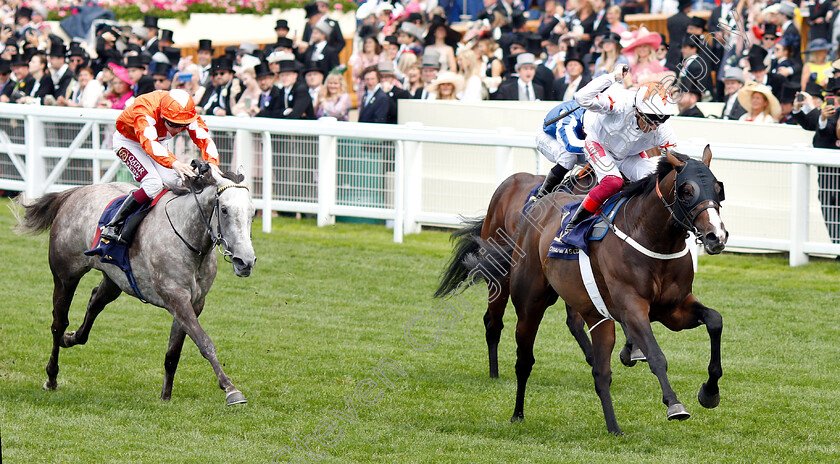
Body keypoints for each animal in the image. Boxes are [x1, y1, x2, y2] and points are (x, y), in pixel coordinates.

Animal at [15, 166, 256, 406]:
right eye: (224, 210)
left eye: (252, 213)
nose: (245, 261)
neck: (186, 236)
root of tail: (75, 192)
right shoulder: (175, 298)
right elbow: (204, 342)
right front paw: (231, 389)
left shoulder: (194, 303)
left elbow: (173, 353)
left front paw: (165, 396)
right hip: (65, 276)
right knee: (58, 323)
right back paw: (51, 377)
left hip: (114, 279)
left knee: (94, 302)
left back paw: (71, 338)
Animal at [470, 149, 724, 436]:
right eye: (687, 191)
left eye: (718, 188)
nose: (716, 236)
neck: (651, 237)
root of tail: (539, 205)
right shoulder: (633, 309)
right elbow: (656, 355)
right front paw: (674, 404)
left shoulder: (674, 309)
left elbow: (715, 320)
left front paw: (709, 392)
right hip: (526, 302)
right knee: (520, 355)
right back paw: (516, 412)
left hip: (597, 316)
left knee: (601, 373)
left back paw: (614, 427)